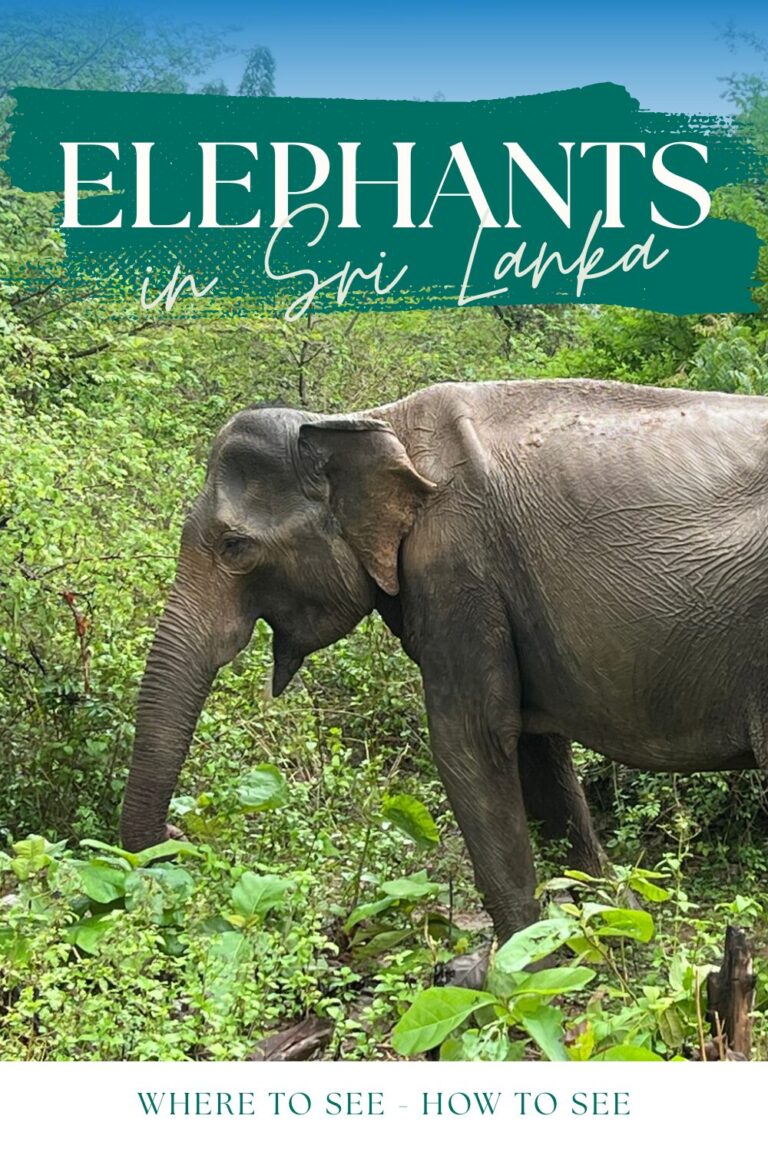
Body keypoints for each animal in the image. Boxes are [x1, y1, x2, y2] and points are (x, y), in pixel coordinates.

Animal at [121, 377, 768, 941]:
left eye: (235, 547)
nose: (178, 837)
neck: (370, 421)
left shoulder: (457, 566)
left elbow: (471, 739)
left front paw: (514, 972)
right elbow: (535, 748)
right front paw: (610, 929)